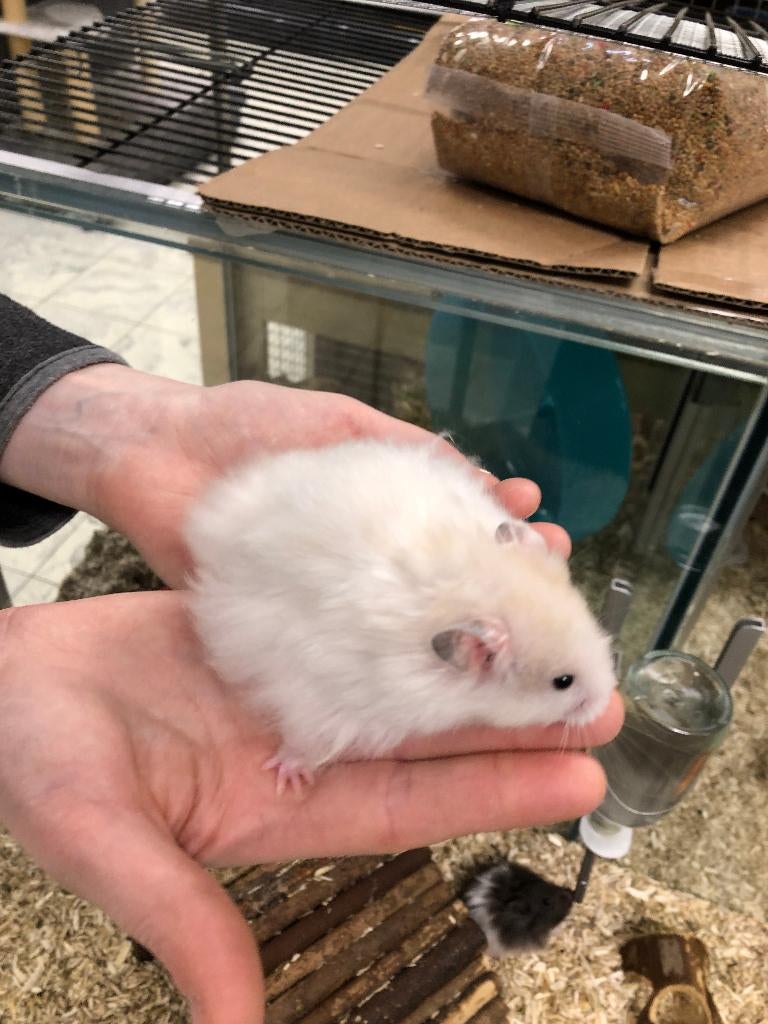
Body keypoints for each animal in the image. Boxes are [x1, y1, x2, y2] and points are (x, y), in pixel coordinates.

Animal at [185, 438, 616, 794]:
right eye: (563, 682)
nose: (605, 700)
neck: (463, 587)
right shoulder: (322, 702)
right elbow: (305, 740)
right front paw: (287, 778)